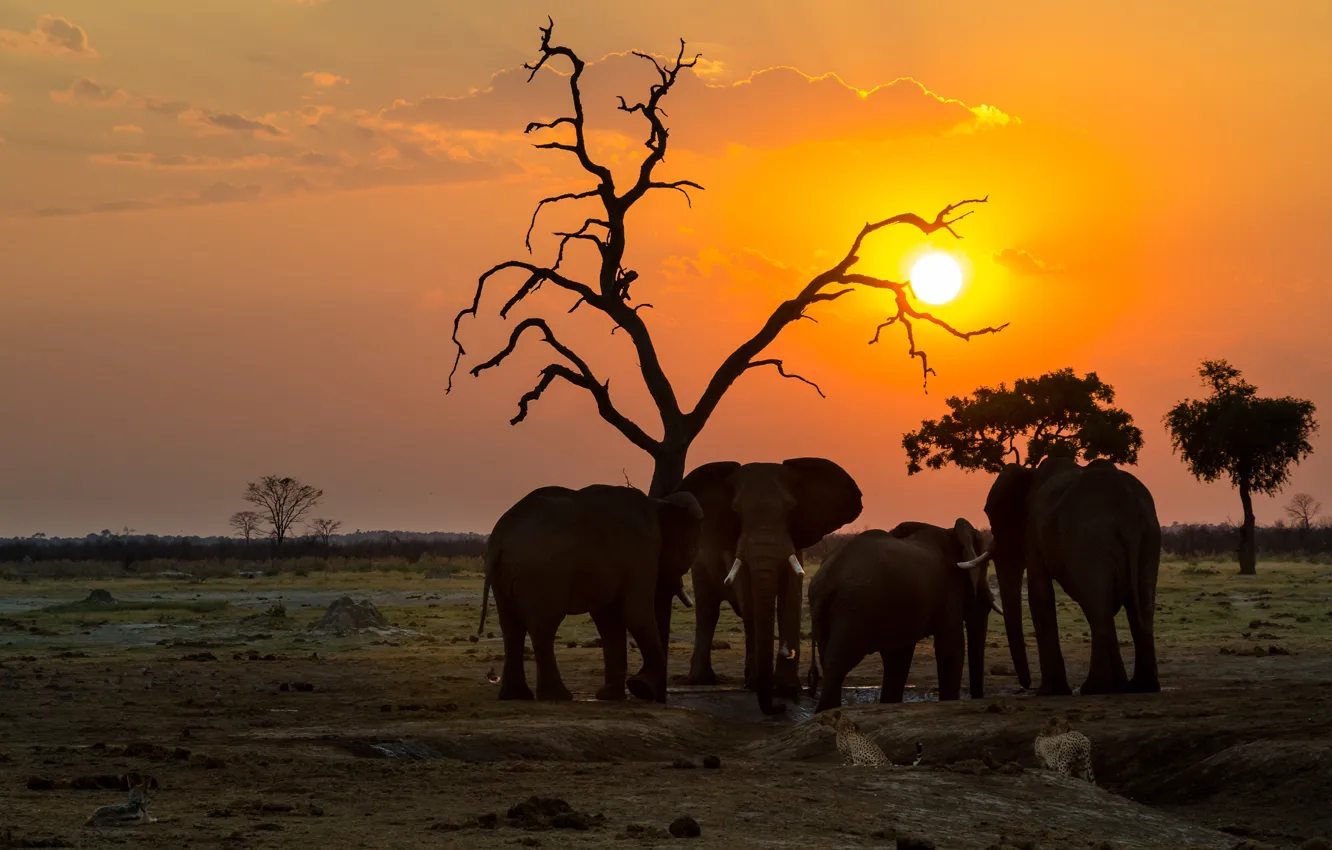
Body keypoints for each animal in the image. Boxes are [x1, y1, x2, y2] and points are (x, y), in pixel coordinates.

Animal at [478, 483, 703, 703]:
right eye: (693, 550)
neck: (660, 503)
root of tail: (499, 537)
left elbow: (609, 620)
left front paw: (611, 697)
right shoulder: (643, 550)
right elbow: (635, 614)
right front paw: (640, 688)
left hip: (505, 574)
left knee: (511, 628)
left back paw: (516, 695)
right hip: (542, 574)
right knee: (543, 627)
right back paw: (557, 697)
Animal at [676, 458, 863, 715]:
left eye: (790, 509)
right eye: (736, 511)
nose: (778, 708)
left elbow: (791, 594)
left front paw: (786, 689)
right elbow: (749, 597)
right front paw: (760, 685)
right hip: (699, 558)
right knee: (708, 610)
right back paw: (703, 680)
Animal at [806, 519, 1000, 713]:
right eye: (985, 567)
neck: (950, 532)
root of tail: (826, 577)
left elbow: (898, 657)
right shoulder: (949, 592)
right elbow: (951, 648)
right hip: (853, 608)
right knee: (837, 667)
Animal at [984, 457, 1161, 696]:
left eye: (994, 517)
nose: (1026, 685)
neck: (1031, 474)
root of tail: (1127, 507)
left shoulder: (1034, 529)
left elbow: (1039, 594)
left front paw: (1049, 692)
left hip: (1089, 539)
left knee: (1097, 605)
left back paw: (1095, 688)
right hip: (1150, 535)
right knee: (1138, 605)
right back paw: (1139, 686)